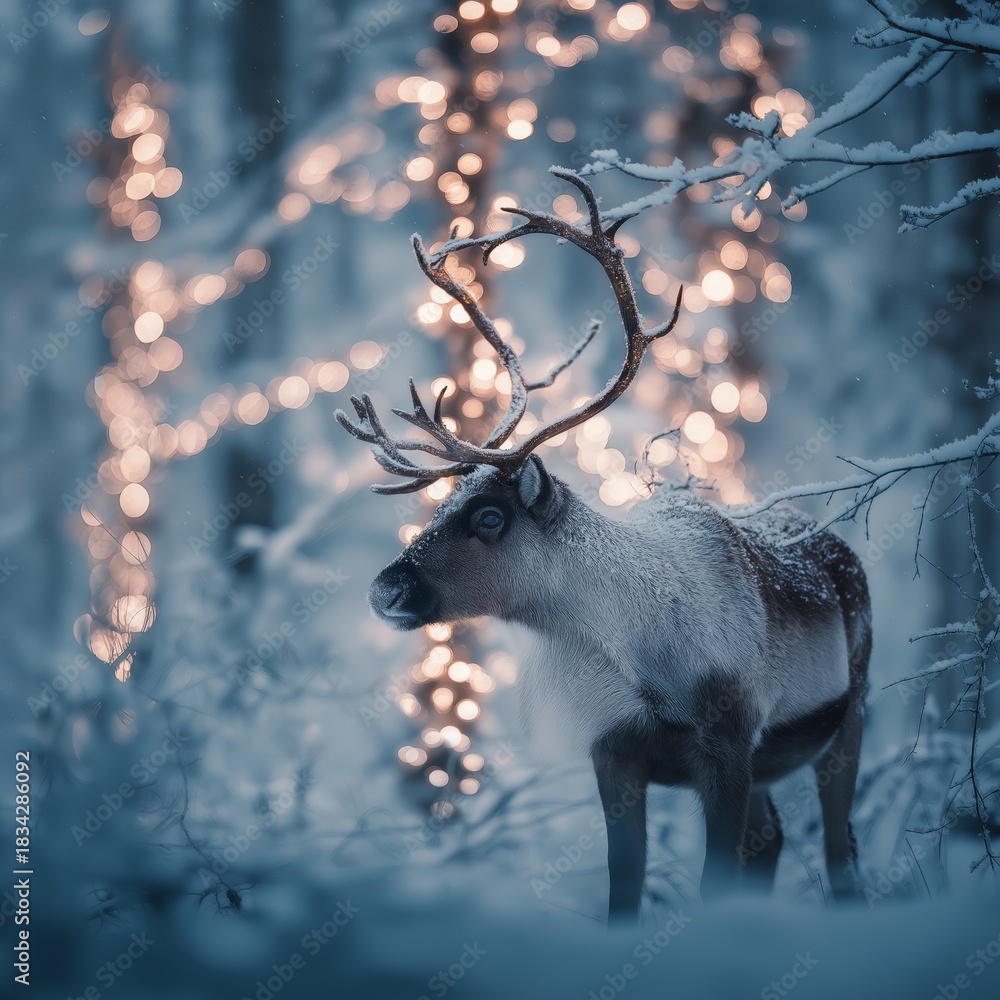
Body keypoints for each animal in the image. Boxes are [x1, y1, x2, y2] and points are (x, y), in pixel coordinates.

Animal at [337, 169, 872, 923]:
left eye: (491, 517)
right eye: (441, 503)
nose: (386, 587)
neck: (635, 651)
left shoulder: (728, 747)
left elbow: (713, 884)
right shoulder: (614, 754)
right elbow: (623, 893)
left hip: (848, 720)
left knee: (837, 847)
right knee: (771, 839)